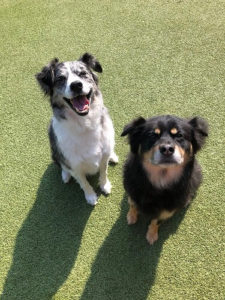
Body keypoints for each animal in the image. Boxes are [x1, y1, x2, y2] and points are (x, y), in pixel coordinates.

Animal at [122, 114, 208, 244]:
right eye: (152, 135)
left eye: (179, 135)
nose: (167, 149)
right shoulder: (132, 194)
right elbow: (132, 205)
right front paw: (131, 216)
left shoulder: (166, 212)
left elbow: (156, 222)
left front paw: (152, 234)